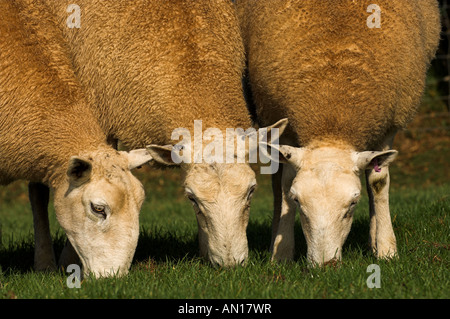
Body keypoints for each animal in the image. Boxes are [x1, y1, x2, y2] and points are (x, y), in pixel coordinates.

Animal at [237, 0, 442, 264]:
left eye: (352, 204)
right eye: (298, 202)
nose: (325, 265)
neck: (332, 125)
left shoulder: (388, 127)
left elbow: (378, 184)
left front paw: (387, 250)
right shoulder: (284, 126)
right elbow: (284, 184)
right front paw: (281, 253)